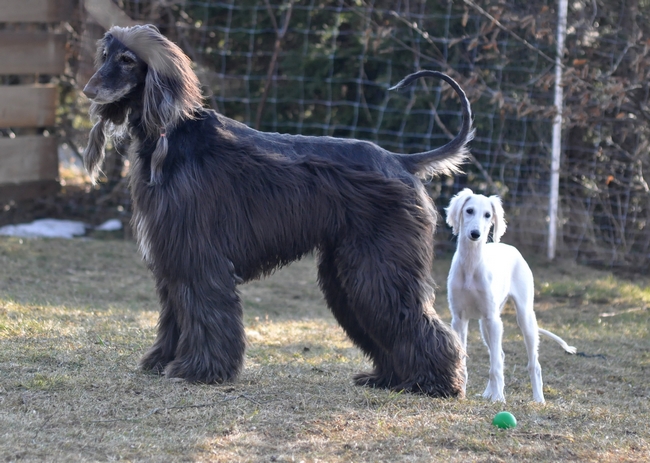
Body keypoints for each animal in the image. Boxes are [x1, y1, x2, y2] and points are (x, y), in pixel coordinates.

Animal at [442, 187, 576, 404]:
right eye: (469, 210)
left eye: (488, 215)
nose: (475, 234)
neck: (471, 266)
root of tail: (510, 247)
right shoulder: (459, 319)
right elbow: (466, 359)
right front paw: (461, 391)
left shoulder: (494, 320)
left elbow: (495, 365)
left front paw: (499, 398)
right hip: (484, 324)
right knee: (501, 354)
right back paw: (488, 393)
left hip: (523, 317)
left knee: (531, 363)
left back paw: (538, 399)